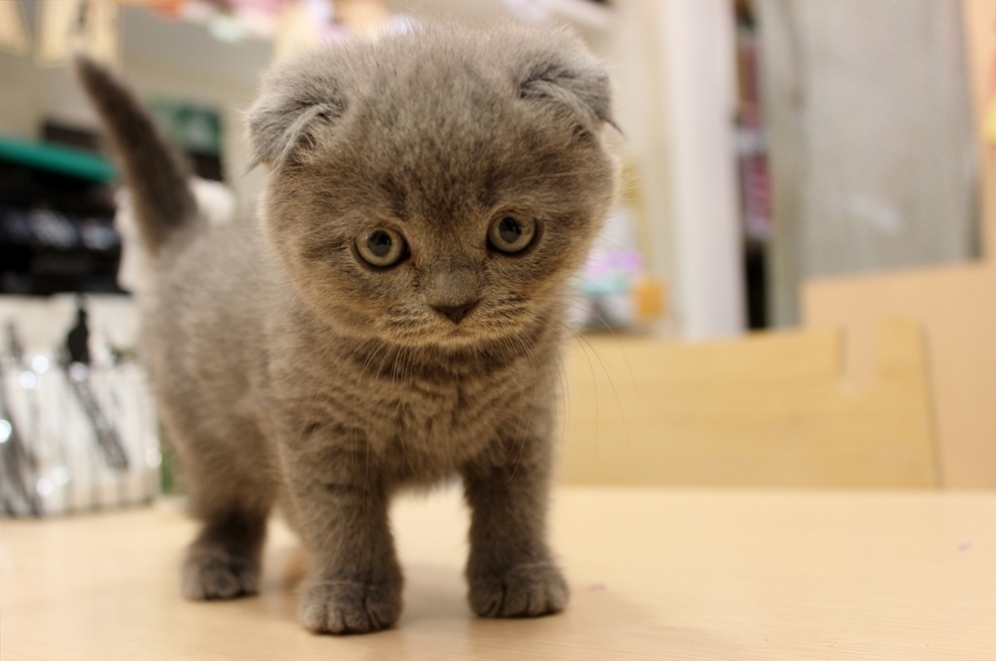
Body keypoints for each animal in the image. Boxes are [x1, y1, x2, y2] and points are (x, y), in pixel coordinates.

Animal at [80, 23, 616, 636]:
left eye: (511, 230)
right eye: (380, 245)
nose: (454, 304)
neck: (440, 374)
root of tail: (188, 241)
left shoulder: (522, 424)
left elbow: (516, 504)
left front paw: (519, 579)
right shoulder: (316, 434)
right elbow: (341, 516)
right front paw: (350, 596)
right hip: (202, 434)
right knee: (227, 503)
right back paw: (216, 564)